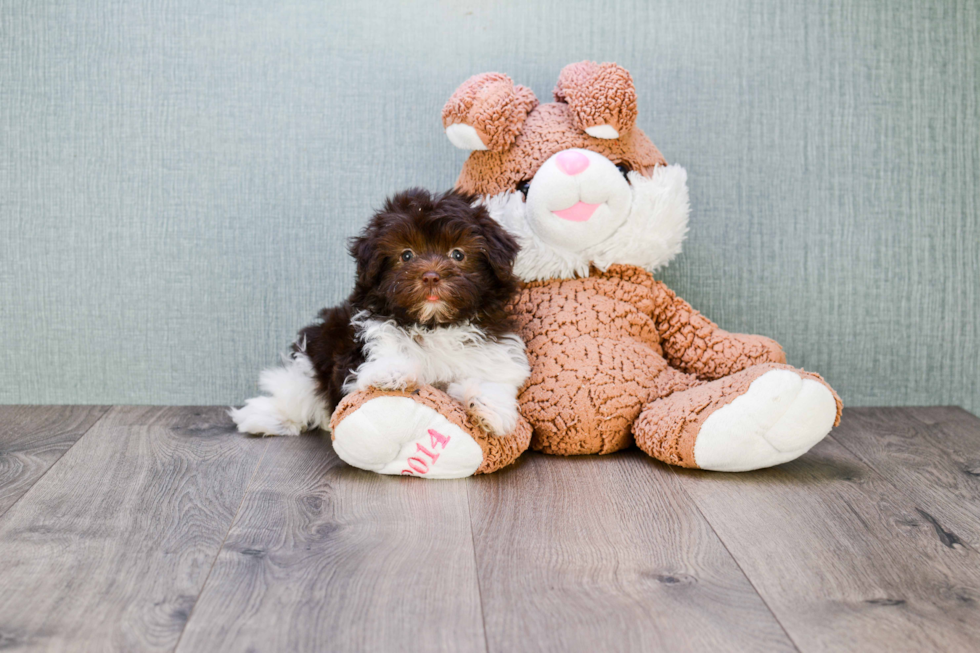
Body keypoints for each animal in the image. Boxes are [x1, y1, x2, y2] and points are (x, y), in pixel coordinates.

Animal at [231, 191, 532, 440]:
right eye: (407, 255)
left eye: (457, 254)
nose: (431, 276)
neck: (433, 325)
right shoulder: (359, 349)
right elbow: (381, 358)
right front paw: (393, 371)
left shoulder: (494, 351)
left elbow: (493, 379)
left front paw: (487, 407)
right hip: (314, 354)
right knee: (296, 391)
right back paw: (264, 416)